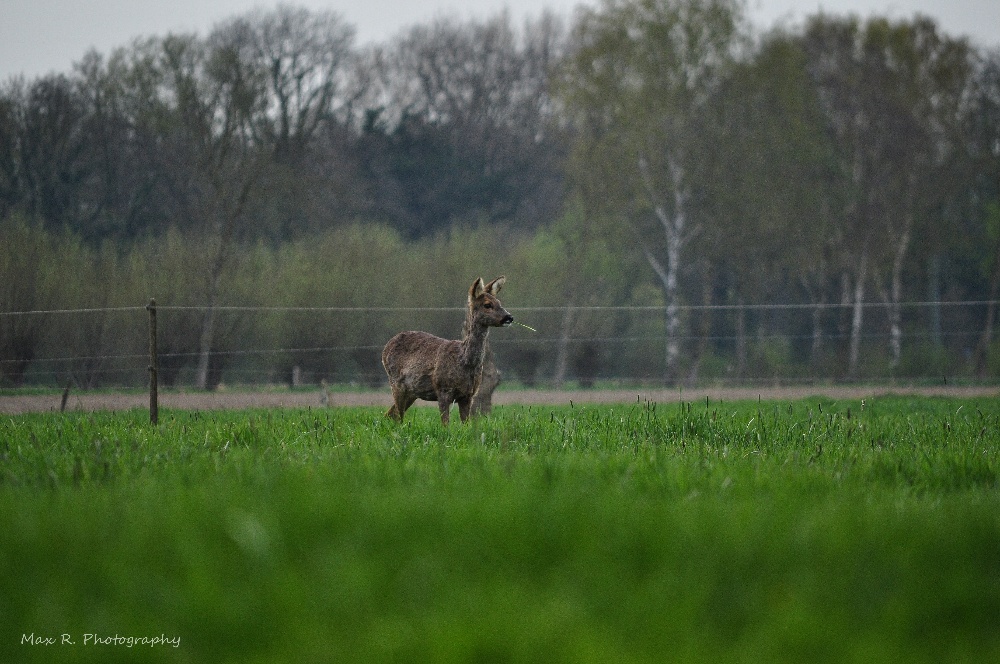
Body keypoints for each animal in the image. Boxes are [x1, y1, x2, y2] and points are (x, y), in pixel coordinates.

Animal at [378, 276, 512, 426]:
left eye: (499, 302)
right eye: (487, 305)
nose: (509, 317)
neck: (464, 361)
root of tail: (387, 346)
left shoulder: (468, 395)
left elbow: (466, 424)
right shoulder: (442, 390)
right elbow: (445, 424)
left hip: (412, 391)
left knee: (390, 414)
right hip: (396, 382)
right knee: (398, 416)